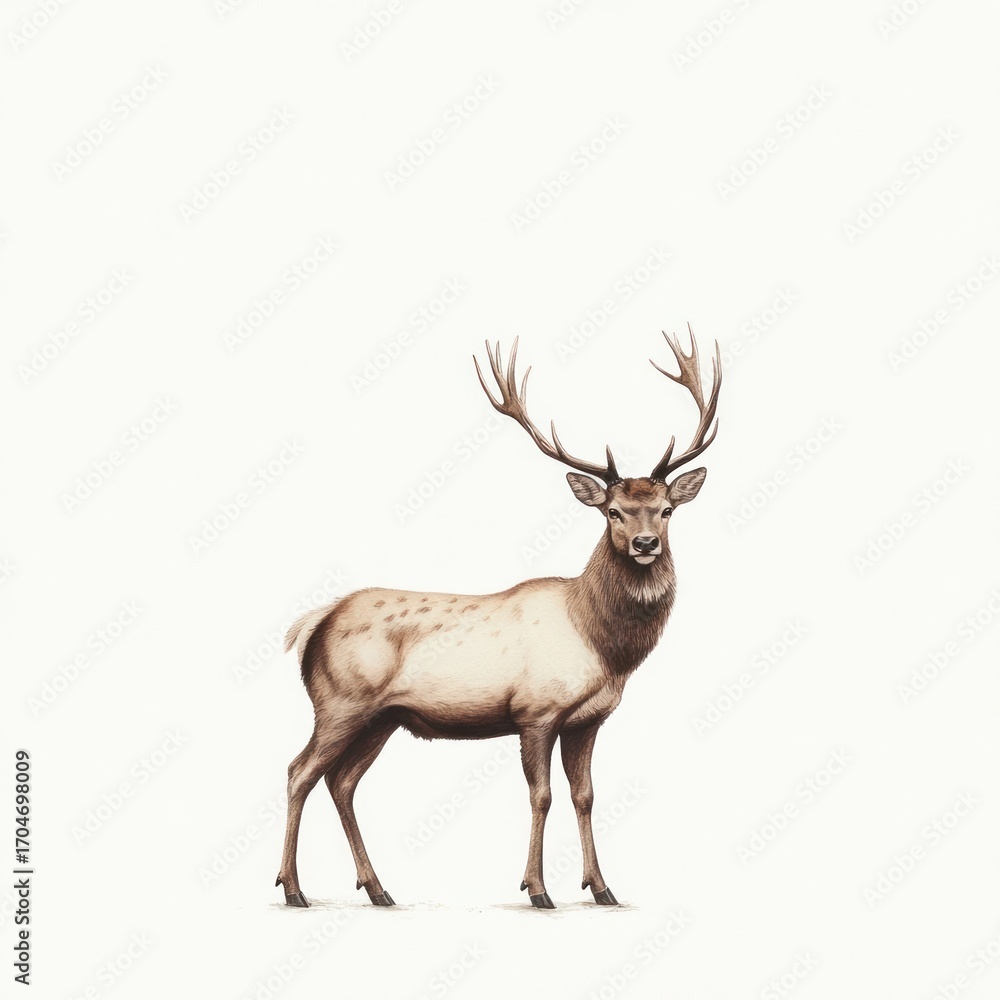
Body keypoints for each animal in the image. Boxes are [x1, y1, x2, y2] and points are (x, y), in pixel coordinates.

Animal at [275, 326, 722, 909]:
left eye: (667, 510)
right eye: (613, 512)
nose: (646, 543)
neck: (602, 647)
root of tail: (316, 621)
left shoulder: (588, 719)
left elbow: (585, 795)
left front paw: (603, 887)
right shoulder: (535, 711)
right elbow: (542, 795)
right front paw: (538, 889)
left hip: (381, 718)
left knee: (342, 782)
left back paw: (377, 888)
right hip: (339, 702)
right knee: (299, 772)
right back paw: (293, 889)